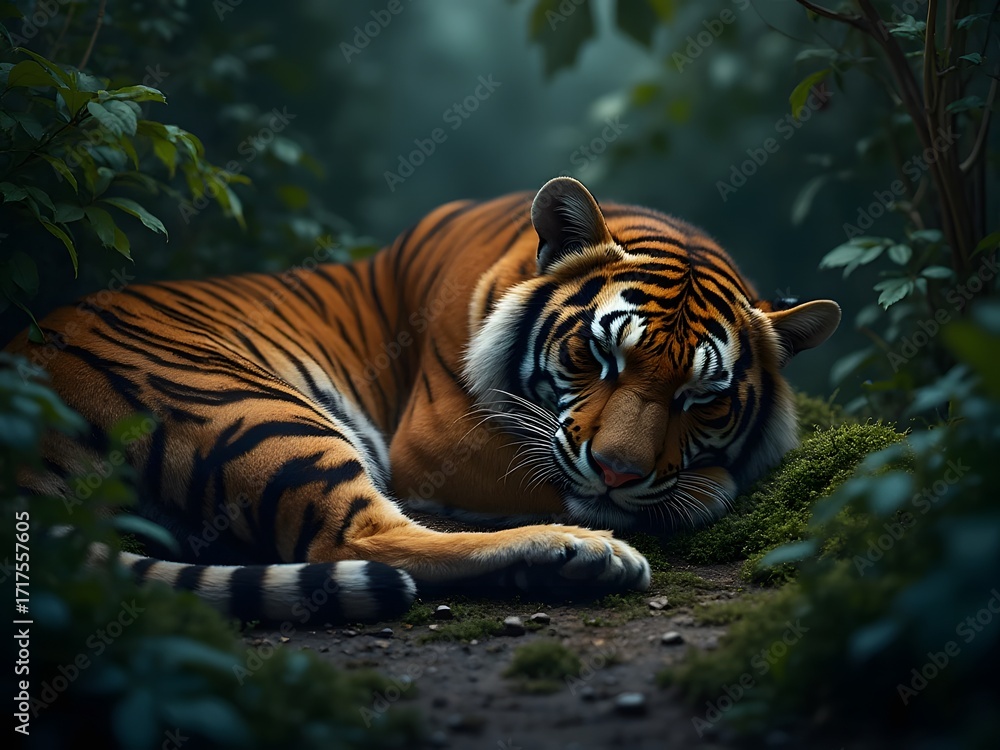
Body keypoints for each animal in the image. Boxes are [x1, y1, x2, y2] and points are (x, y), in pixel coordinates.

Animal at [7, 176, 841, 625]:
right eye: (597, 356)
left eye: (703, 400)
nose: (618, 475)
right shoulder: (441, 443)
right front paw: (702, 491)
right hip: (247, 403)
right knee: (359, 540)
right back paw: (583, 551)